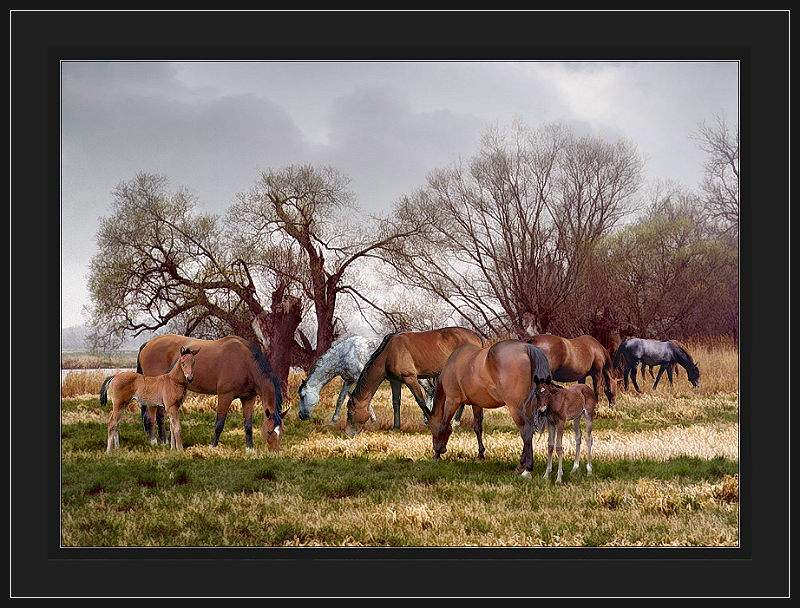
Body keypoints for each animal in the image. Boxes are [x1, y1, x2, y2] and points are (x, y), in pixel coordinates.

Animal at [137, 332, 288, 452]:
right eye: (269, 431)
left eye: (281, 432)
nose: (275, 452)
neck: (246, 363)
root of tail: (148, 344)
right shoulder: (225, 396)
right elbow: (219, 424)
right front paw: (213, 446)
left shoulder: (248, 399)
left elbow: (248, 425)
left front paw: (249, 449)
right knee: (150, 417)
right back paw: (154, 442)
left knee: (159, 416)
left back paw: (164, 441)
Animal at [342, 326, 482, 430]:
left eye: (350, 412)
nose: (348, 434)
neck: (390, 352)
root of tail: (476, 337)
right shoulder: (395, 381)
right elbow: (396, 402)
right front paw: (396, 427)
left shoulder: (410, 378)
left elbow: (420, 401)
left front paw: (430, 422)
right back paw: (456, 423)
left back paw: (456, 423)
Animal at [418, 342, 552, 476]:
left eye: (431, 428)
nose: (439, 448)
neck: (454, 363)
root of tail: (526, 348)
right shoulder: (476, 404)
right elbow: (478, 428)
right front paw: (480, 455)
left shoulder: (452, 401)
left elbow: (444, 424)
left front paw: (437, 454)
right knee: (529, 431)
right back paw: (521, 466)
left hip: (515, 407)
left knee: (526, 432)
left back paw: (526, 468)